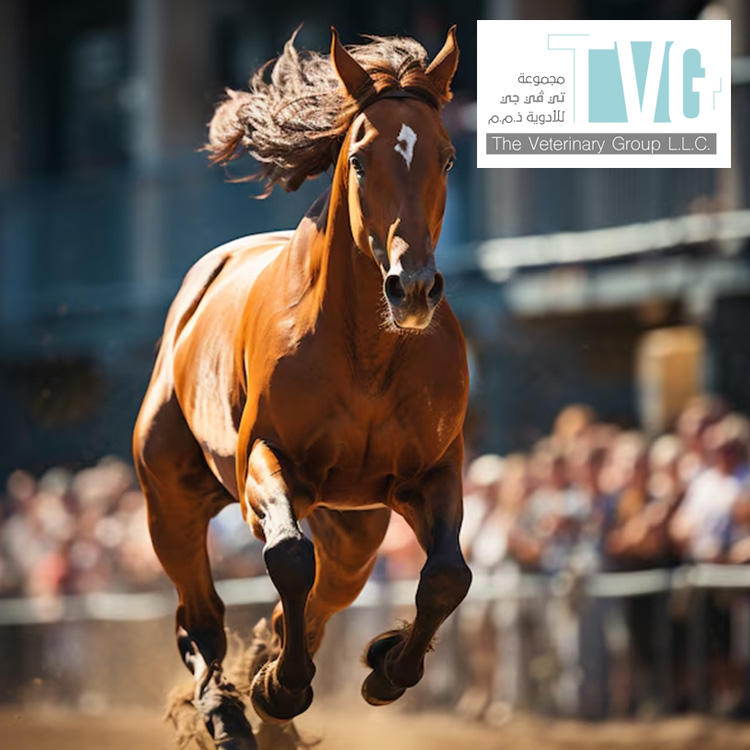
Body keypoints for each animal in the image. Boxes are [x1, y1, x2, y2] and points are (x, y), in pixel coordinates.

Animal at [133, 26, 471, 750]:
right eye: (363, 160)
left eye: (449, 157)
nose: (413, 288)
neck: (368, 354)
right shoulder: (267, 460)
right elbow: (288, 556)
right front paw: (279, 687)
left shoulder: (431, 470)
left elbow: (446, 576)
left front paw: (387, 667)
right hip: (169, 496)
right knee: (199, 614)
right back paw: (231, 711)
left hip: (357, 523)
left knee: (326, 593)